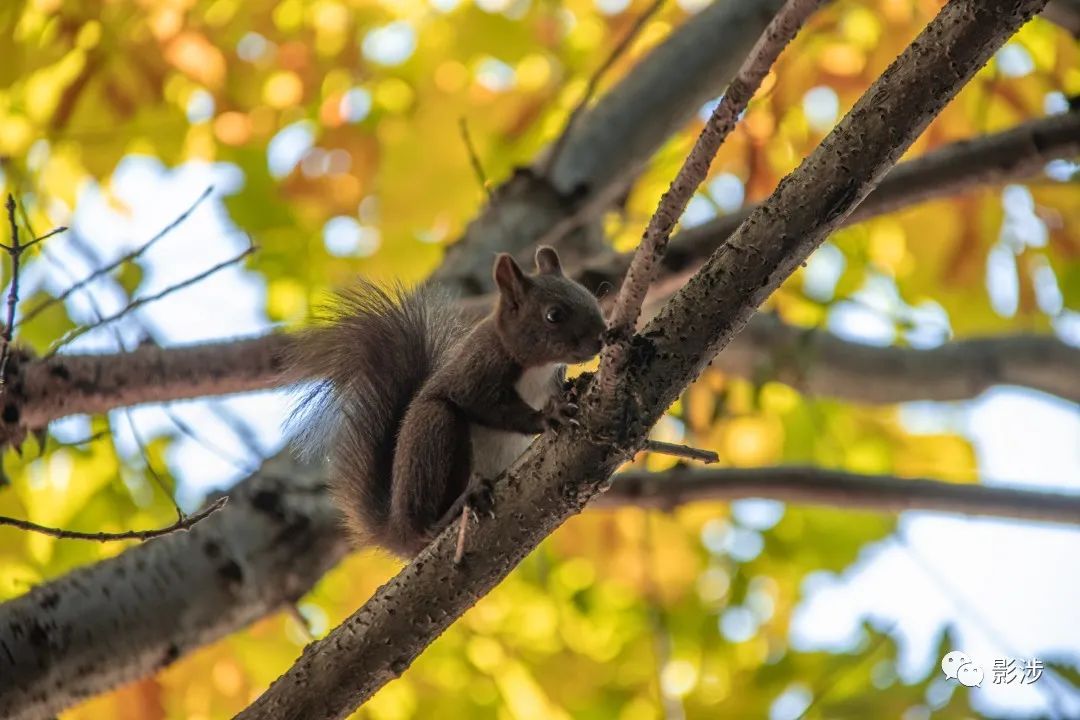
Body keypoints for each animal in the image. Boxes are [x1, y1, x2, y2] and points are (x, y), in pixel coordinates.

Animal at [287, 246, 609, 557]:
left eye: (589, 295)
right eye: (553, 315)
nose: (601, 338)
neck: (537, 367)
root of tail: (398, 532)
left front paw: (574, 388)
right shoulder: (476, 375)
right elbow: (494, 408)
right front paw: (547, 417)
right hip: (433, 432)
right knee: (426, 525)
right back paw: (454, 510)